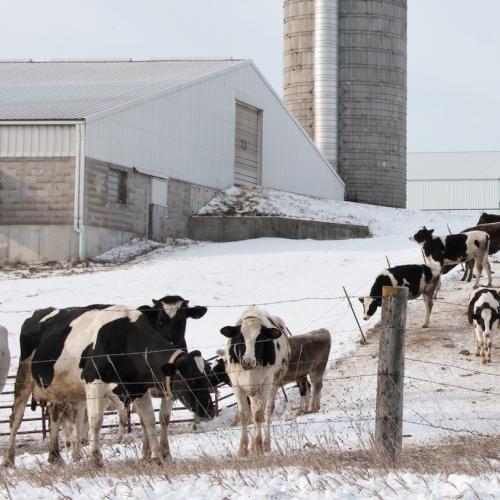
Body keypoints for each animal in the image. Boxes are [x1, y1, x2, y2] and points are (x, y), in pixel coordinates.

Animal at [3, 306, 215, 466]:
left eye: (206, 377)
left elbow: (149, 420)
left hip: (59, 390)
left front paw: (156, 457)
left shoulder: (138, 388)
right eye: (190, 378)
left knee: (55, 417)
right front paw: (95, 458)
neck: (123, 337)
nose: (209, 410)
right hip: (24, 376)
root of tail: (39, 313)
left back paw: (55, 457)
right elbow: (95, 421)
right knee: (16, 418)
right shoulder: (93, 382)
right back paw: (8, 459)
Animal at [219, 306, 290, 456]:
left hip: (274, 383)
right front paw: (243, 449)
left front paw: (257, 446)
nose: (248, 362)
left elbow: (258, 415)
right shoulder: (237, 385)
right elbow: (244, 415)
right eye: (240, 338)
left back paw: (266, 444)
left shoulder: (265, 384)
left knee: (267, 412)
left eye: (260, 339)